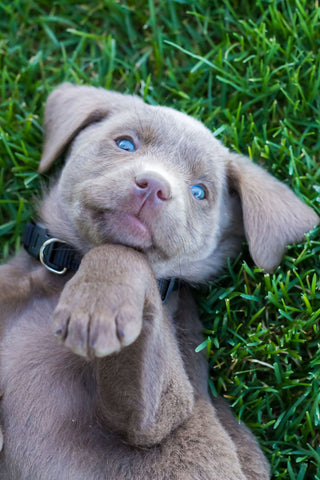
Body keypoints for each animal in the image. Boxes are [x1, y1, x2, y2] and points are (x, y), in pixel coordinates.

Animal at [0, 83, 318, 480]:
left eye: (199, 192)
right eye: (125, 143)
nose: (153, 186)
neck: (68, 271)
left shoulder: (164, 414)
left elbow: (125, 253)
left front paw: (95, 309)